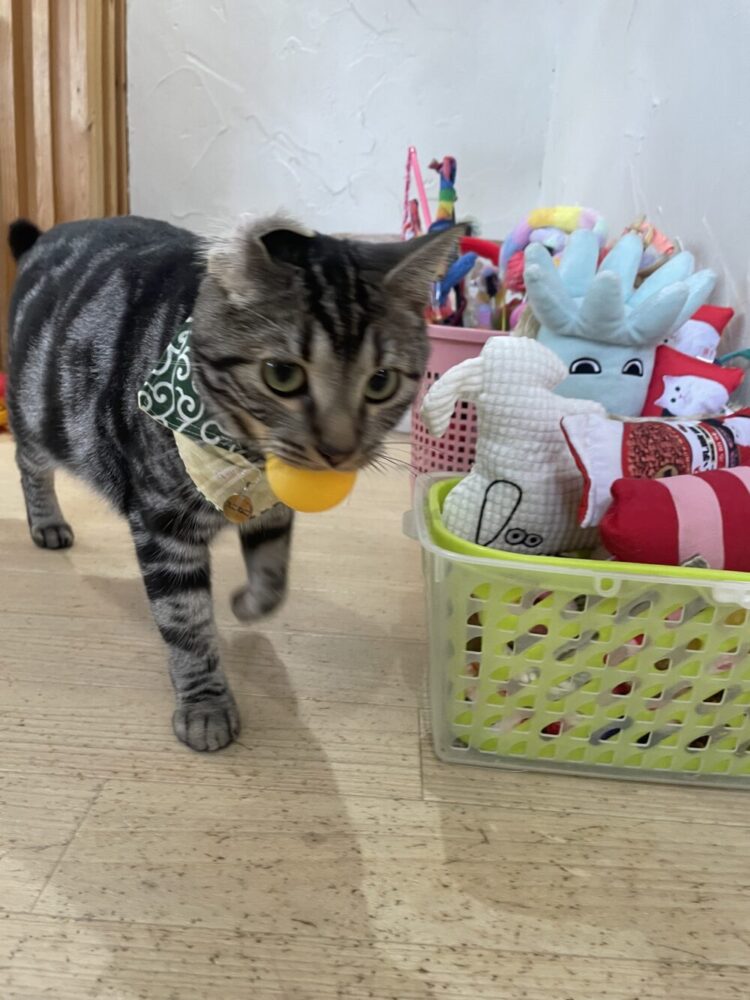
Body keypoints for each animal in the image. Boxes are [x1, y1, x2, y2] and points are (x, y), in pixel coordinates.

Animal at [7, 214, 460, 751]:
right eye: (281, 375)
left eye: (381, 383)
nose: (338, 450)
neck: (244, 459)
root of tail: (46, 235)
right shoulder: (164, 529)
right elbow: (185, 622)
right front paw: (205, 704)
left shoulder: (274, 511)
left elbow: (273, 576)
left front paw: (246, 606)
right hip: (38, 412)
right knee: (28, 462)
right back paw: (47, 523)